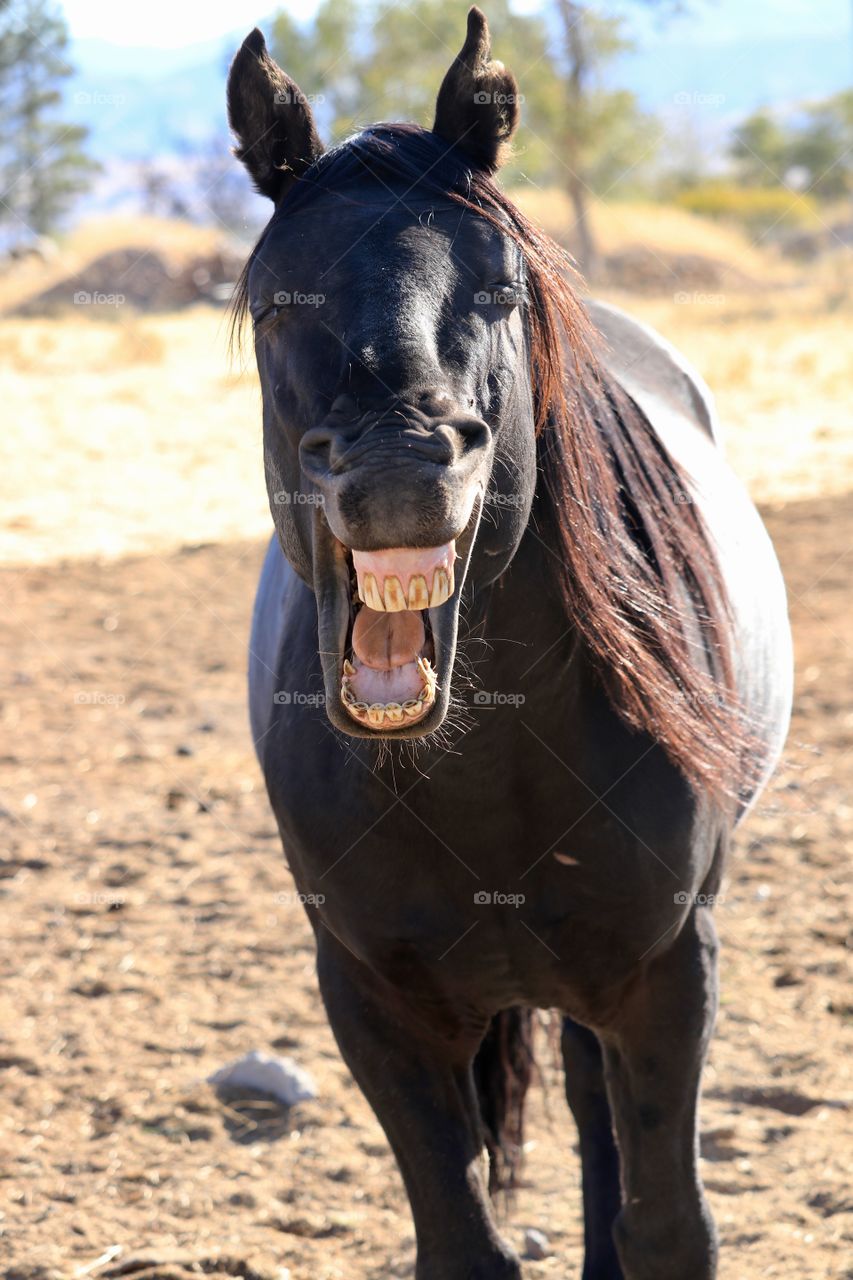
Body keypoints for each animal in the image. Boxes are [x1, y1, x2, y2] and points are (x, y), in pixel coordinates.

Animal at [227, 12, 788, 1280]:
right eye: (276, 301)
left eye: (497, 290)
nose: (398, 465)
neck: (486, 776)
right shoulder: (372, 1000)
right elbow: (461, 1240)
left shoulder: (666, 973)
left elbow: (666, 1223)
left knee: (596, 1128)